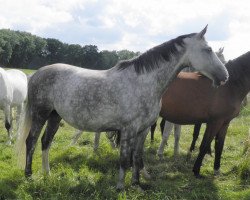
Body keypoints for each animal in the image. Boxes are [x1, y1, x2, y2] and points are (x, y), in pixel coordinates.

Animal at [14, 27, 228, 189]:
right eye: (208, 49)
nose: (225, 76)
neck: (143, 82)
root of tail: (37, 74)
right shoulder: (128, 129)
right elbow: (125, 159)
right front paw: (120, 187)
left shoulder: (142, 130)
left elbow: (137, 157)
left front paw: (136, 184)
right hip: (40, 114)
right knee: (31, 141)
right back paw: (29, 175)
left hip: (54, 116)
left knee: (46, 142)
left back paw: (47, 173)